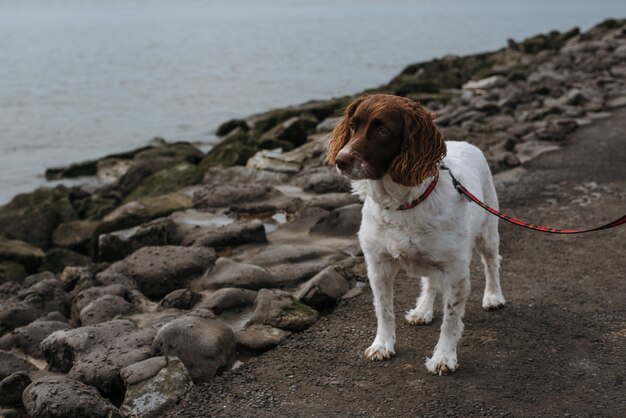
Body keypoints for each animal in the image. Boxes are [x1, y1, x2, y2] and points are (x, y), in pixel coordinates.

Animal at [326, 95, 508, 376]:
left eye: (382, 130)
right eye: (353, 126)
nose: (341, 160)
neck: (402, 204)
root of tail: (464, 142)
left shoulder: (455, 270)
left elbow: (450, 319)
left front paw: (444, 357)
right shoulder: (378, 265)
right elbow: (384, 309)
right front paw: (383, 344)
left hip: (487, 231)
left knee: (491, 263)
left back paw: (493, 296)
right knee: (430, 281)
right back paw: (422, 310)